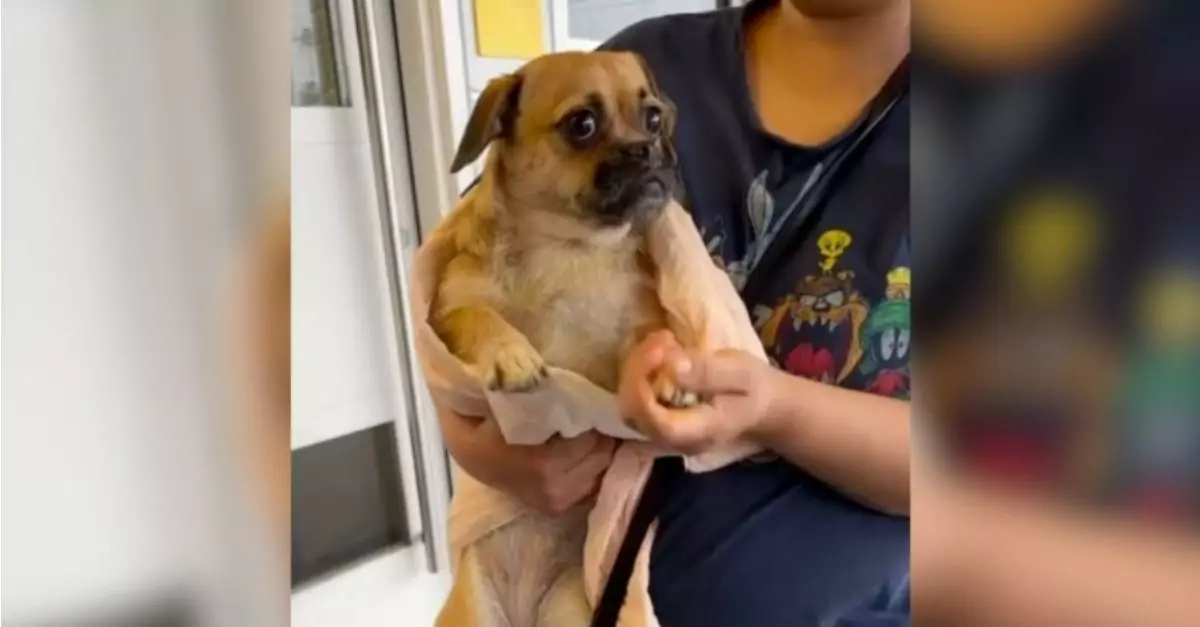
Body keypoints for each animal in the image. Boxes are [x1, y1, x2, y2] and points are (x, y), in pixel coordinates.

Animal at [412, 201, 768, 624]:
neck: (563, 249)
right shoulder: (450, 309)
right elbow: (478, 317)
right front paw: (509, 354)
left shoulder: (635, 321)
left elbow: (654, 338)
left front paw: (671, 374)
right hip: (475, 606)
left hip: (567, 605)